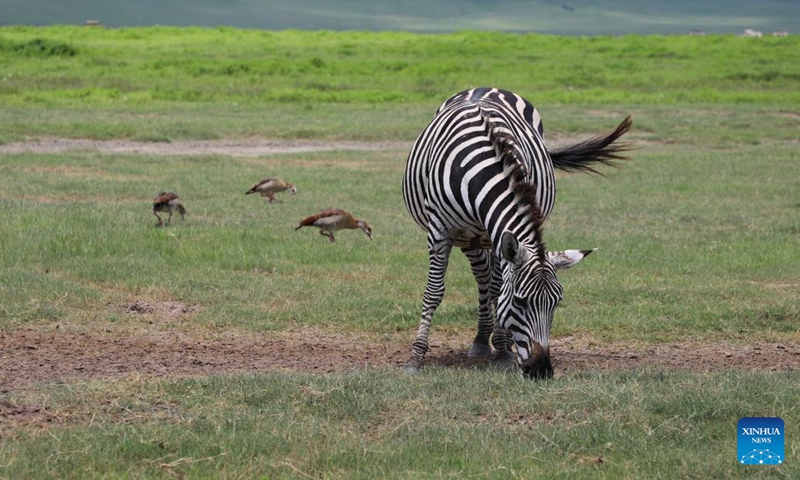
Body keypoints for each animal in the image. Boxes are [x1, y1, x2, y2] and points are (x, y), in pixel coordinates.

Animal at [402, 87, 631, 378]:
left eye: (556, 303)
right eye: (521, 302)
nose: (541, 370)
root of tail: (485, 87)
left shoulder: (497, 235)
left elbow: (498, 289)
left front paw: (503, 350)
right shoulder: (440, 231)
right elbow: (434, 291)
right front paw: (416, 356)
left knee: (490, 282)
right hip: (469, 238)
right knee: (482, 278)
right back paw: (481, 341)